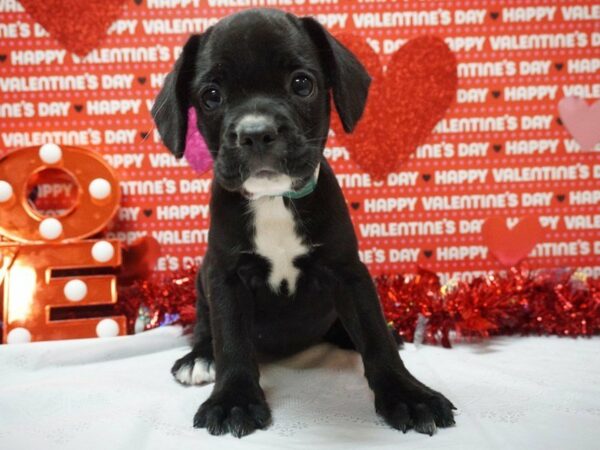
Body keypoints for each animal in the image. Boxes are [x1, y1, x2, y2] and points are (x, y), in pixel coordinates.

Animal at [154, 8, 454, 440]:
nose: (255, 132)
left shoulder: (349, 273)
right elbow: (231, 338)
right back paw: (200, 357)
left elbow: (374, 334)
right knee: (206, 327)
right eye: (211, 95)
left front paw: (409, 395)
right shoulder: (224, 277)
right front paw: (233, 399)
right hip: (201, 281)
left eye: (302, 83)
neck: (274, 199)